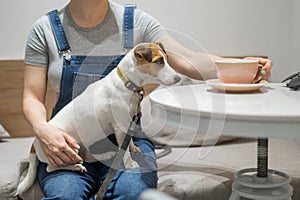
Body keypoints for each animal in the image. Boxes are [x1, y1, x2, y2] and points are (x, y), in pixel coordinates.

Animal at [17, 42, 180, 195]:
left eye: (166, 59)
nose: (178, 78)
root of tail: (35, 142)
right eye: (159, 61)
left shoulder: (128, 122)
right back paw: (76, 166)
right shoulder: (120, 127)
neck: (127, 83)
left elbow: (129, 142)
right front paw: (130, 163)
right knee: (51, 167)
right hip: (68, 148)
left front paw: (134, 148)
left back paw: (106, 155)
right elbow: (124, 149)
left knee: (87, 156)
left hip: (81, 146)